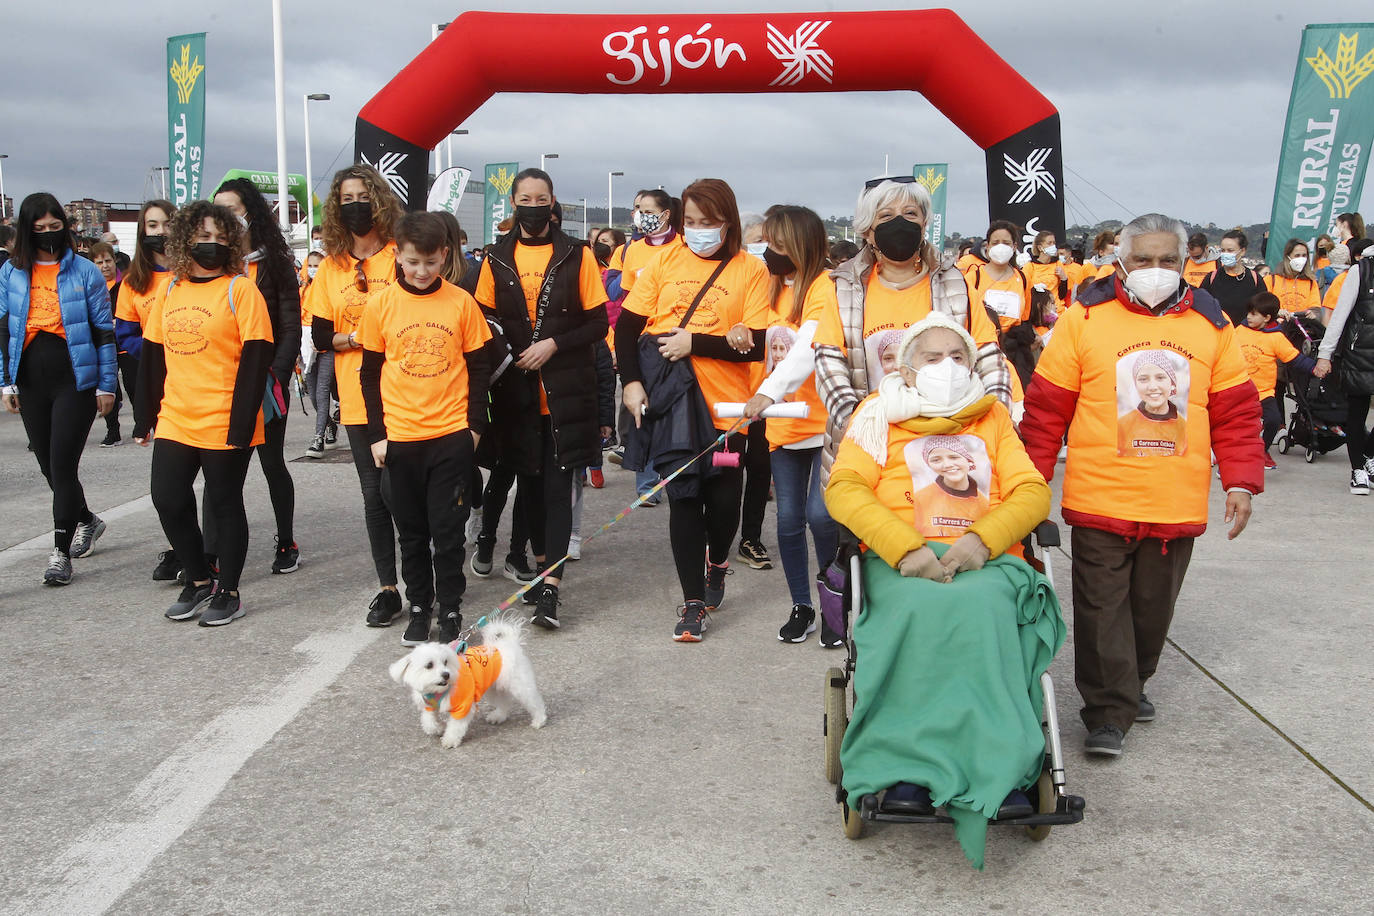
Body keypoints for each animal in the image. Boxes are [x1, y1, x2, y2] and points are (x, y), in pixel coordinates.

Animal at [387, 612, 546, 747]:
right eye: (429, 665)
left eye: (445, 662)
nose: (446, 675)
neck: (439, 691)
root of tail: (508, 643)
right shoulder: (428, 704)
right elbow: (428, 721)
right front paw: (437, 728)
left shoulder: (463, 706)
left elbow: (455, 726)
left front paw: (450, 740)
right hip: (493, 688)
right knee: (504, 702)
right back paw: (498, 716)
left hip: (520, 685)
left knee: (534, 702)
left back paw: (539, 720)